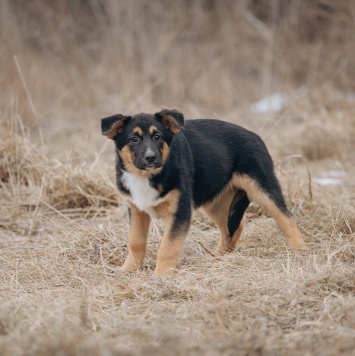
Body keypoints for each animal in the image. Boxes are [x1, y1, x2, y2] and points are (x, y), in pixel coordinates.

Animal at [101, 108, 308, 276]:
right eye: (134, 139)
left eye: (158, 137)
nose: (151, 158)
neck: (147, 176)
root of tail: (255, 135)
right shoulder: (137, 209)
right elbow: (135, 242)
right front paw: (128, 270)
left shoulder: (180, 211)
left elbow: (168, 247)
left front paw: (161, 276)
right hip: (215, 202)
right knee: (233, 228)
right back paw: (218, 257)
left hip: (263, 188)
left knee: (286, 218)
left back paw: (299, 251)